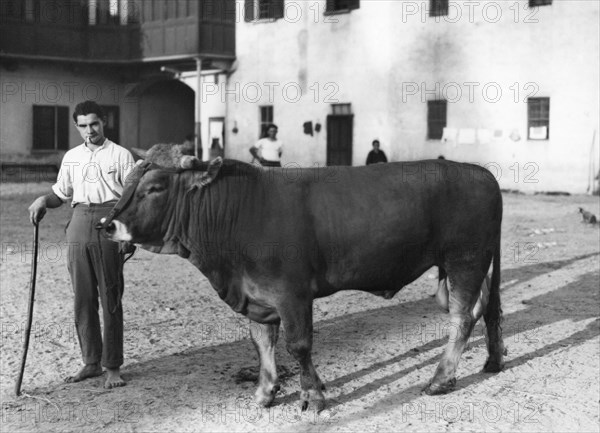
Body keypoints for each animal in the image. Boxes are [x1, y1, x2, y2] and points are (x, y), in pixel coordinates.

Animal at [99, 144, 506, 408]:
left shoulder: (291, 293)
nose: (107, 225)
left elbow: (298, 345)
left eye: (154, 188)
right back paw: (493, 359)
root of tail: (482, 173)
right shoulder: (257, 296)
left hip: (465, 260)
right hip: (470, 265)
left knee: (462, 318)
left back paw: (440, 379)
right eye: (126, 183)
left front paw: (312, 393)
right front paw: (265, 392)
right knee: (486, 308)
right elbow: (262, 342)